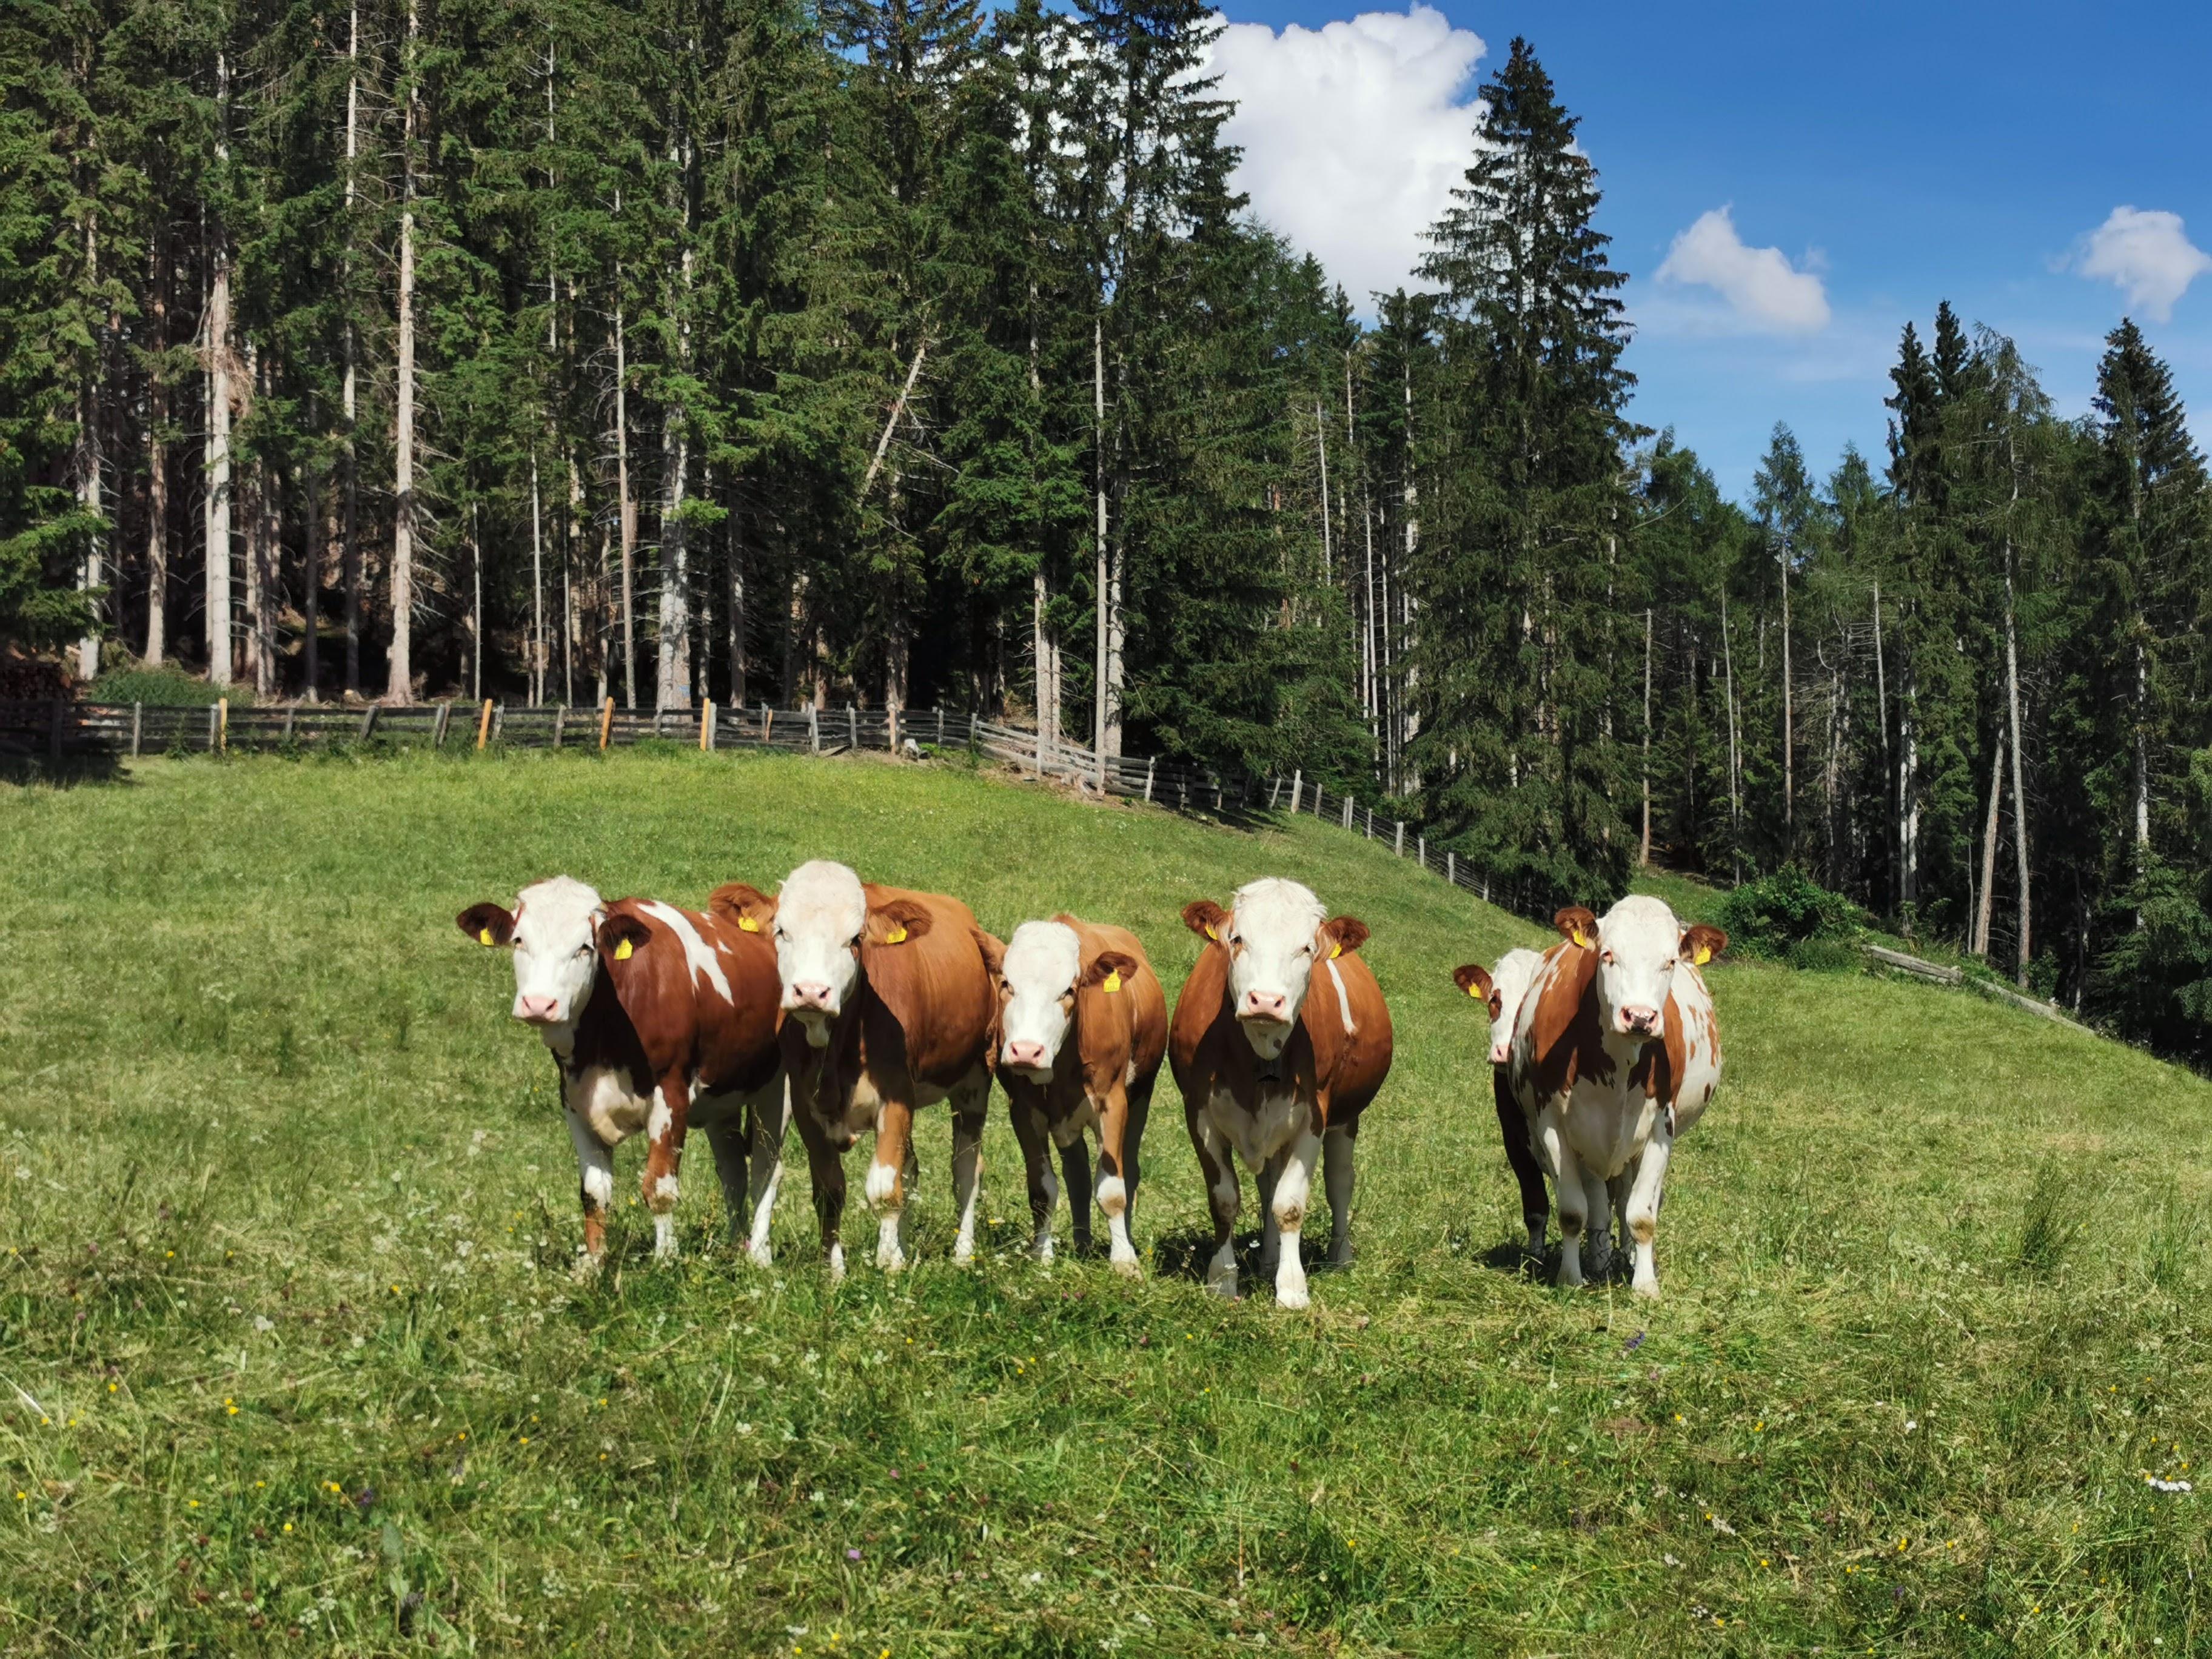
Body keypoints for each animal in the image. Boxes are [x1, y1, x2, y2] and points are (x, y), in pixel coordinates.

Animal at [456, 876, 787, 1273]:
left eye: (585, 947)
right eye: (519, 940)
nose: (539, 1004)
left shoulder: (671, 1096)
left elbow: (659, 1188)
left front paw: (665, 1261)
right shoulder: (574, 1099)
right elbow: (594, 1193)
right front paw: (593, 1266)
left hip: (775, 1089)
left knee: (767, 1169)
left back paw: (759, 1255)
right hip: (722, 1098)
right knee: (733, 1169)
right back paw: (736, 1247)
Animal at [708, 861, 999, 1279]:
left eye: (855, 938)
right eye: (781, 931)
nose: (811, 992)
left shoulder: (897, 1099)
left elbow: (885, 1189)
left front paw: (889, 1267)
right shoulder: (806, 1107)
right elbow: (831, 1191)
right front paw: (836, 1271)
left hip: (974, 1082)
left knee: (966, 1170)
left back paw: (962, 1254)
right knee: (912, 1169)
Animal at [990, 916, 1168, 1273]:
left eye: (1069, 990)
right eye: (1007, 985)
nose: (1026, 1051)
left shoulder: (1113, 1104)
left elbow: (1113, 1190)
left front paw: (1124, 1260)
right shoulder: (1024, 1111)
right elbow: (1043, 1189)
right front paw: (1041, 1255)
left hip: (1141, 1096)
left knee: (1129, 1170)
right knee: (1078, 1175)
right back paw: (1082, 1244)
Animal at [1169, 879, 1393, 1309]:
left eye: (1307, 948)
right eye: (1237, 939)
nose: (1267, 1001)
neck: (1259, 1055)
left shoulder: (1313, 1117)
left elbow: (1289, 1205)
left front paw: (1291, 1289)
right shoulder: (1198, 1113)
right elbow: (1225, 1200)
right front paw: (1222, 1281)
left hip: (1346, 1119)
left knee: (1340, 1183)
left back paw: (1339, 1255)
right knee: (1268, 1183)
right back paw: (1269, 1260)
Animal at [1497, 895, 1726, 1298]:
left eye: (1670, 961)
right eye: (1607, 954)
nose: (1640, 1017)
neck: (1617, 1065)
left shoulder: (1660, 1129)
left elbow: (1642, 1214)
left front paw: (1645, 1284)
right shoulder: (1553, 1127)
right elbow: (1574, 1212)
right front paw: (1571, 1277)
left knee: (1624, 1203)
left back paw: (1628, 1257)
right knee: (1601, 1208)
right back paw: (1601, 1259)